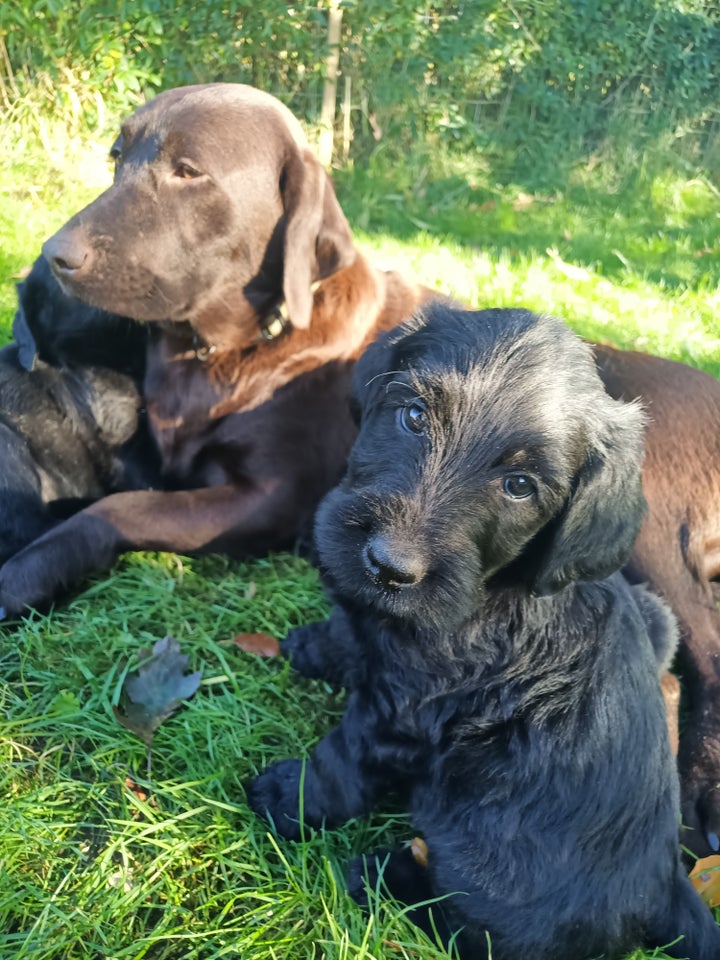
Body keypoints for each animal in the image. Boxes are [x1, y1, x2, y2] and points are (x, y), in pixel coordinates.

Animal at [248, 306, 720, 960]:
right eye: (413, 416)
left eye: (520, 485)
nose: (388, 567)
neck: (490, 595)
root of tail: (670, 889)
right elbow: (353, 633)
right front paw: (319, 645)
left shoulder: (400, 717)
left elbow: (341, 761)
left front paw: (289, 797)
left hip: (486, 875)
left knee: (465, 924)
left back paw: (380, 876)